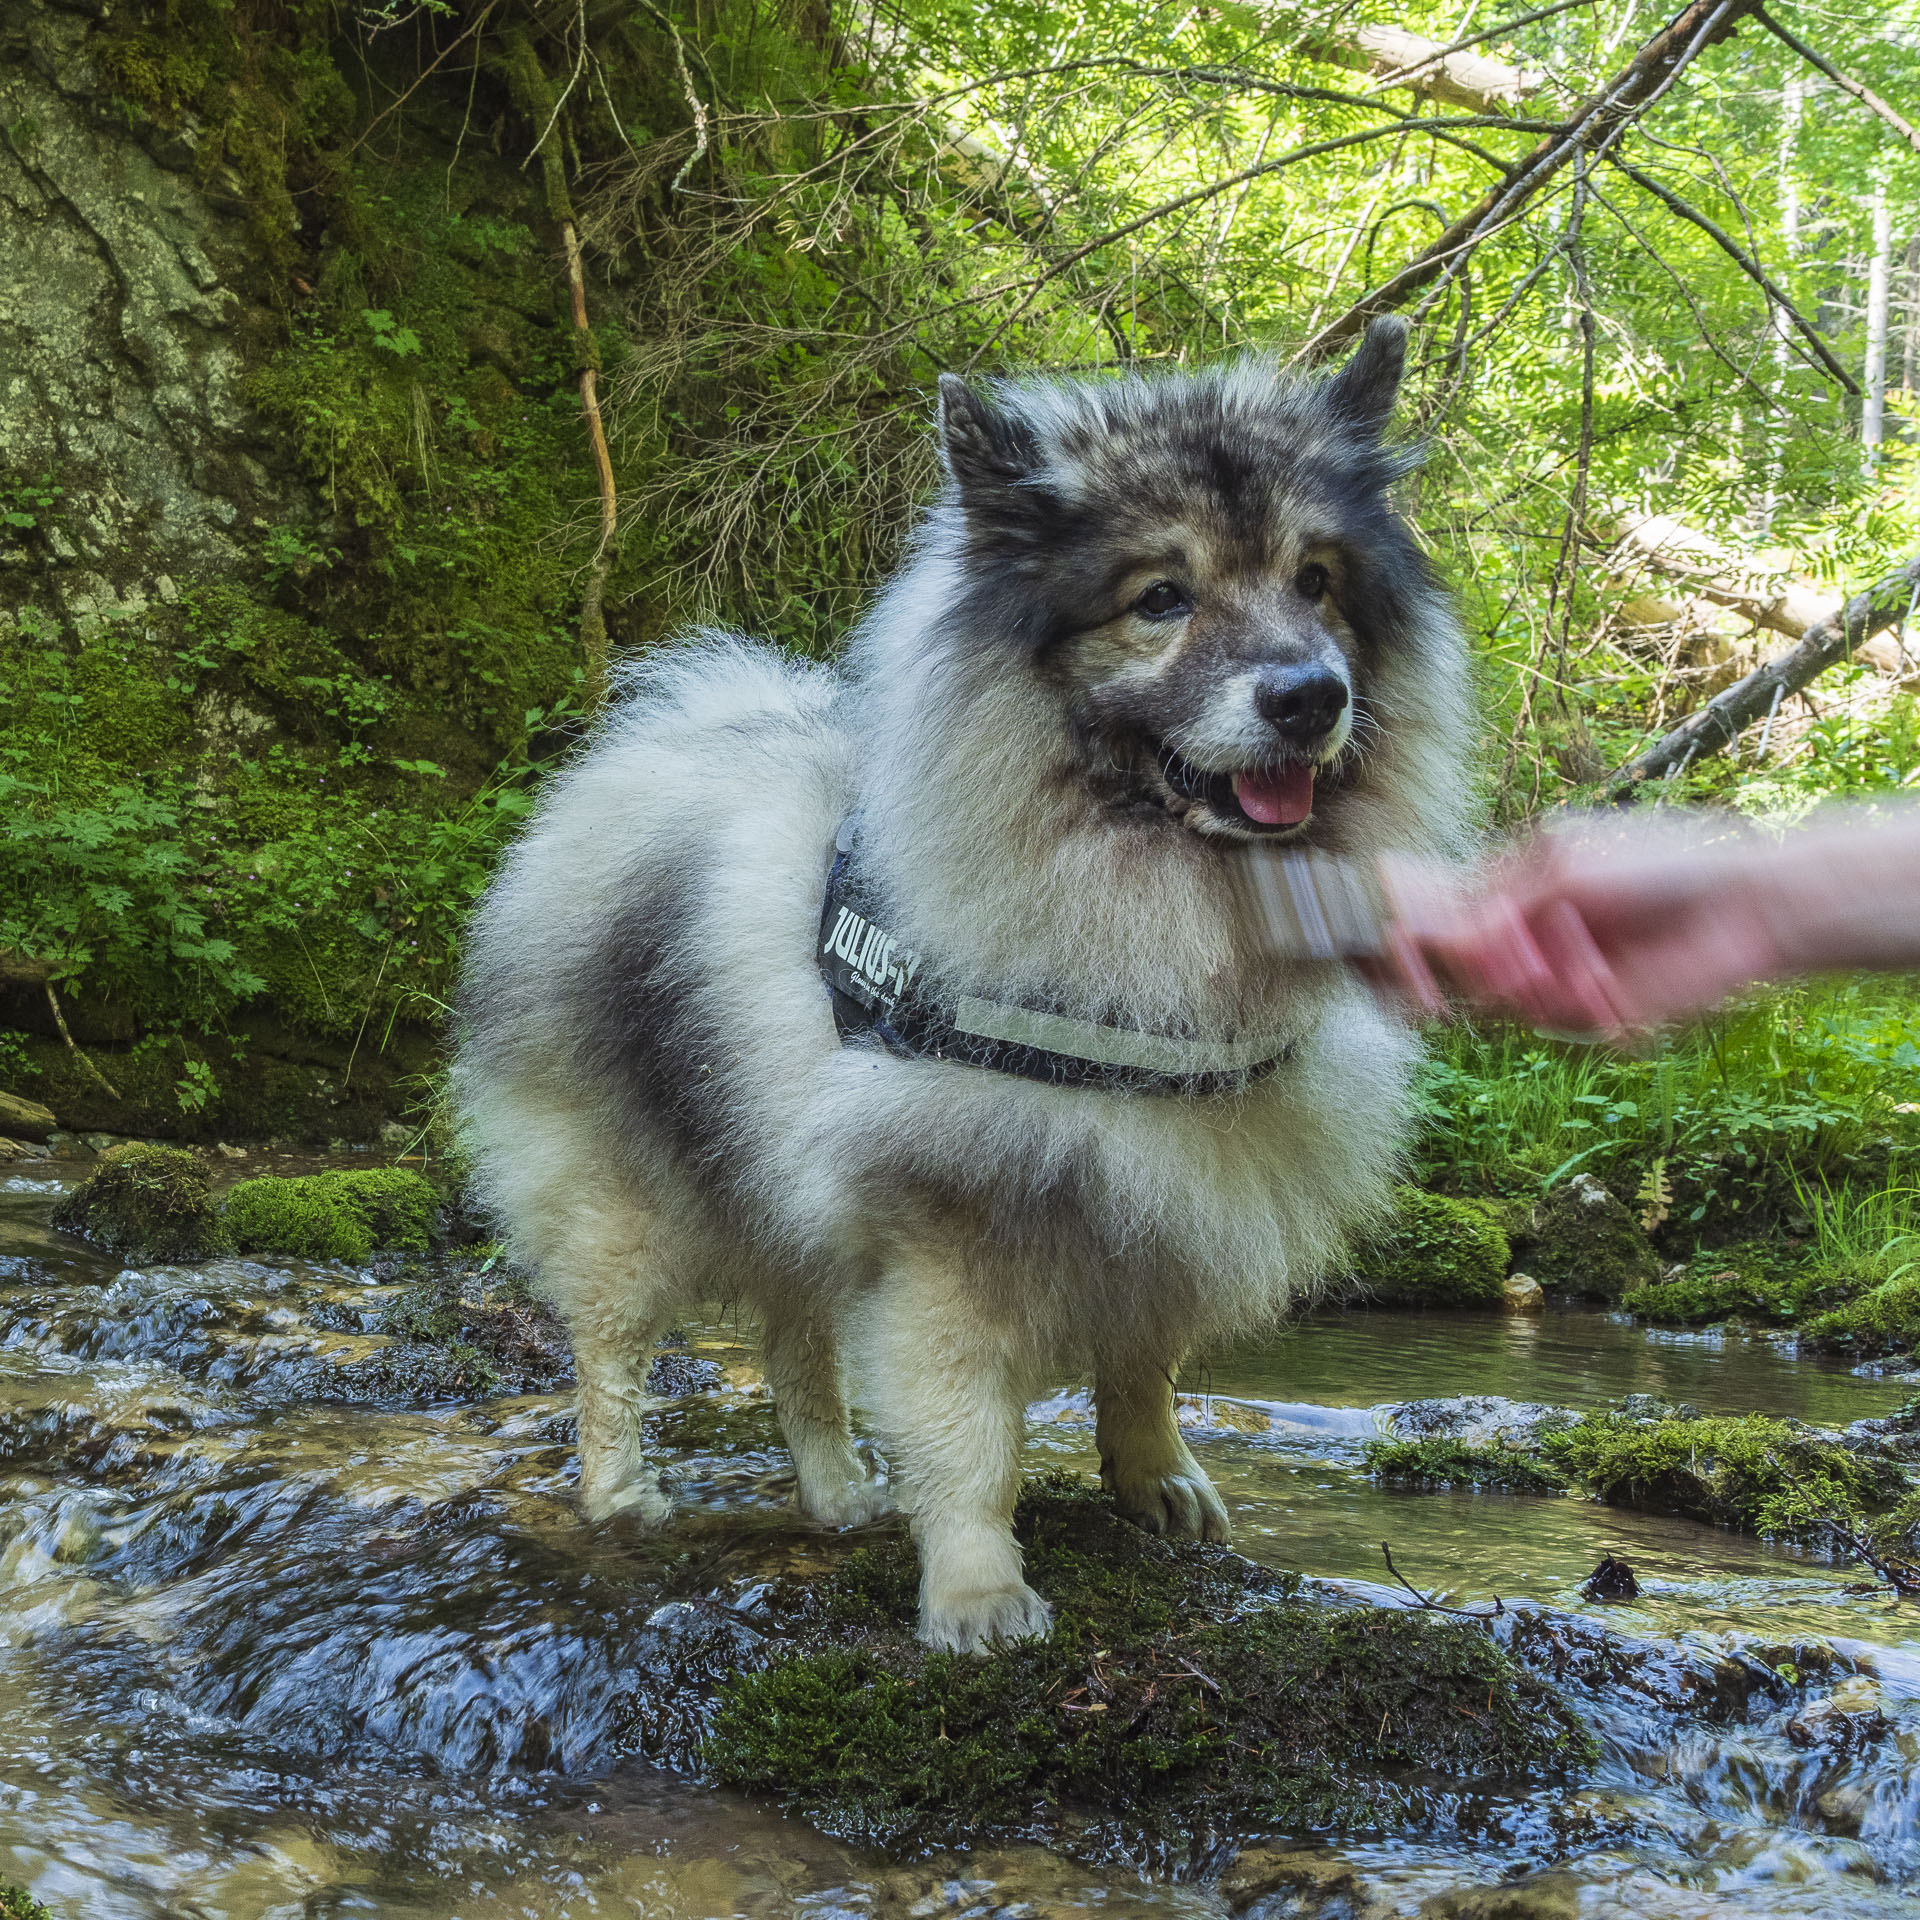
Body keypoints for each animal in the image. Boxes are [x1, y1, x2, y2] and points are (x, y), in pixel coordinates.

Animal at [456, 314, 1474, 1651]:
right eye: (1161, 600)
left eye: (1316, 581)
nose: (1310, 696)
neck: (1153, 890)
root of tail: (652, 749)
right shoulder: (953, 1221)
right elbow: (966, 1431)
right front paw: (978, 1592)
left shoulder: (1166, 1191)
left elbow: (1143, 1362)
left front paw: (1156, 1478)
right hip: (628, 1194)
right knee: (610, 1350)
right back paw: (624, 1494)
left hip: (778, 1177)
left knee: (796, 1345)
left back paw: (838, 1492)